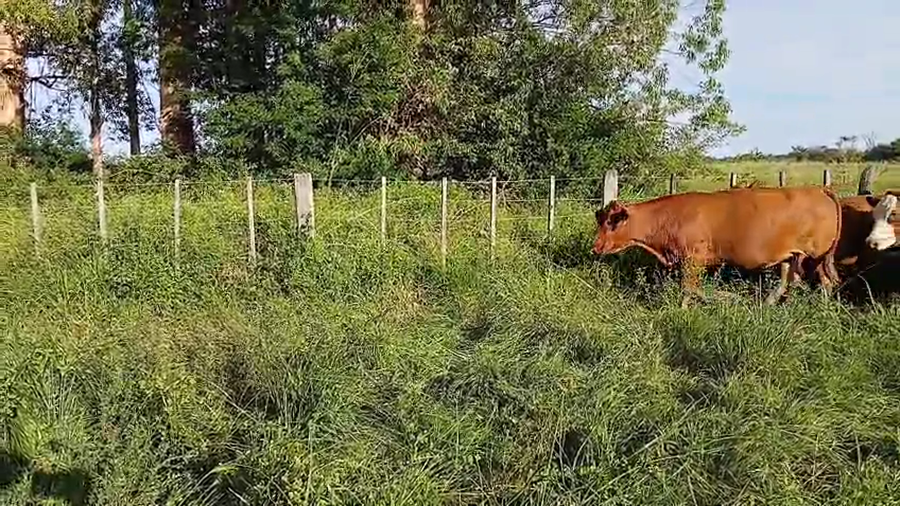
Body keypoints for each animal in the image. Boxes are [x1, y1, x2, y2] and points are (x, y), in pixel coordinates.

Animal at [591, 186, 843, 307]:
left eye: (612, 222)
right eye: (600, 220)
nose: (596, 247)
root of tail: (819, 189)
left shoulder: (692, 260)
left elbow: (690, 289)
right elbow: (692, 289)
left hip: (817, 256)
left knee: (825, 283)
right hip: (790, 256)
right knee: (787, 281)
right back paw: (769, 304)